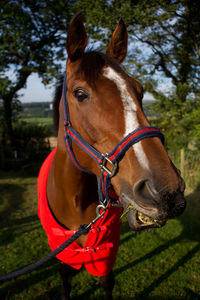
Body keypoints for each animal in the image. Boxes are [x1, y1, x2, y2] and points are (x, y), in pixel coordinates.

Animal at [36, 13, 185, 300]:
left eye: (139, 90)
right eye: (80, 93)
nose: (167, 192)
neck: (76, 202)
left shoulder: (106, 253)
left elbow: (106, 282)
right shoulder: (61, 253)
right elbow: (65, 281)